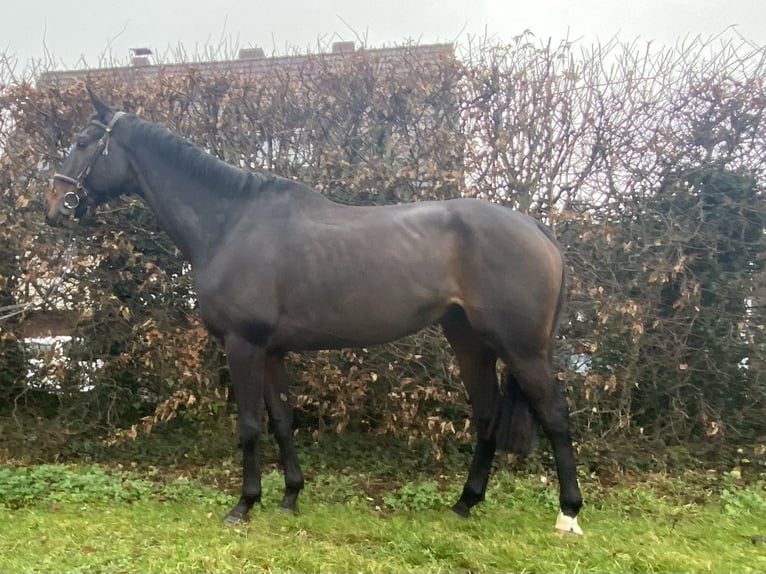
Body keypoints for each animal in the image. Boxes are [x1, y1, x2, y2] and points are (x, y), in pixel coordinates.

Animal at [46, 92, 584, 536]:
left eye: (81, 141)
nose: (54, 205)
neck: (230, 222)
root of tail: (534, 226)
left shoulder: (242, 344)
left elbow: (249, 424)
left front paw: (243, 506)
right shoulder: (270, 351)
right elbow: (282, 420)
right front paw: (289, 498)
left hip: (522, 347)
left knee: (555, 416)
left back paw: (568, 515)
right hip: (470, 340)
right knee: (488, 414)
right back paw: (464, 504)